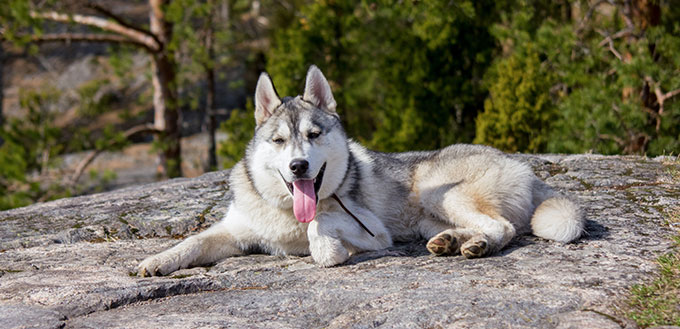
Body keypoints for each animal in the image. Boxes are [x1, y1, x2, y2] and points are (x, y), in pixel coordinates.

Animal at [138, 64, 584, 274]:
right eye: (279, 141)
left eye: (314, 134)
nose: (298, 166)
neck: (287, 212)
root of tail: (523, 166)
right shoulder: (233, 232)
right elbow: (193, 242)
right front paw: (156, 261)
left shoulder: (374, 233)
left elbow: (321, 229)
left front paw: (328, 250)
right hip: (430, 217)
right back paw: (453, 241)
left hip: (441, 193)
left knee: (503, 228)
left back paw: (476, 245)